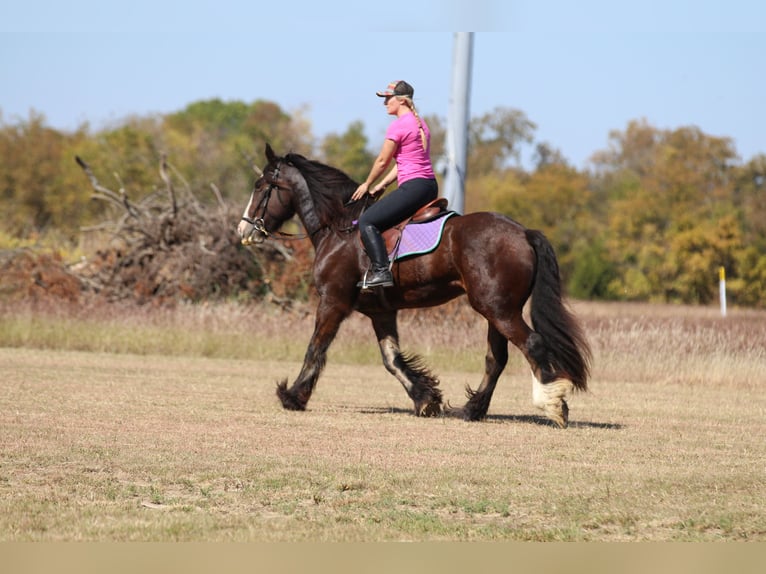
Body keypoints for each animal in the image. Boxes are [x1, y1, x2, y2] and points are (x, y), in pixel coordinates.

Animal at [240, 146, 592, 430]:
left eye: (260, 187)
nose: (244, 229)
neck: (339, 229)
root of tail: (522, 232)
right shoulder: (380, 311)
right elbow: (392, 360)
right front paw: (425, 399)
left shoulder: (332, 302)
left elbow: (316, 348)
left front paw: (293, 396)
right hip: (497, 310)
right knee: (496, 359)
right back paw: (472, 410)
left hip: (499, 310)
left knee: (532, 344)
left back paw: (552, 405)